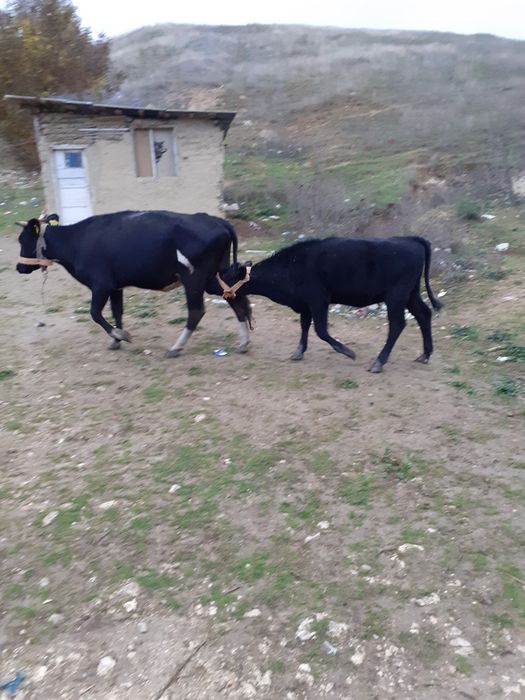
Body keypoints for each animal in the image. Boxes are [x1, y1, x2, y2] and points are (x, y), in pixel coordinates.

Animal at [15, 210, 252, 356]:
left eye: (23, 239)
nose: (19, 267)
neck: (76, 241)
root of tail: (217, 220)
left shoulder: (100, 284)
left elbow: (95, 313)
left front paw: (120, 336)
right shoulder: (115, 286)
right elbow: (117, 312)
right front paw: (116, 340)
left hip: (194, 279)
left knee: (196, 311)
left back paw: (176, 347)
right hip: (215, 277)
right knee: (235, 297)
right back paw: (243, 343)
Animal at [214, 235, 442, 373]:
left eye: (229, 275)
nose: (216, 287)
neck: (291, 266)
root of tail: (410, 239)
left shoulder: (318, 300)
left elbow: (321, 330)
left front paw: (347, 351)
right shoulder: (305, 304)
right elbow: (305, 326)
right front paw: (299, 351)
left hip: (396, 296)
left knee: (397, 325)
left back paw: (379, 361)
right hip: (410, 293)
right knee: (424, 314)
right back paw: (425, 354)